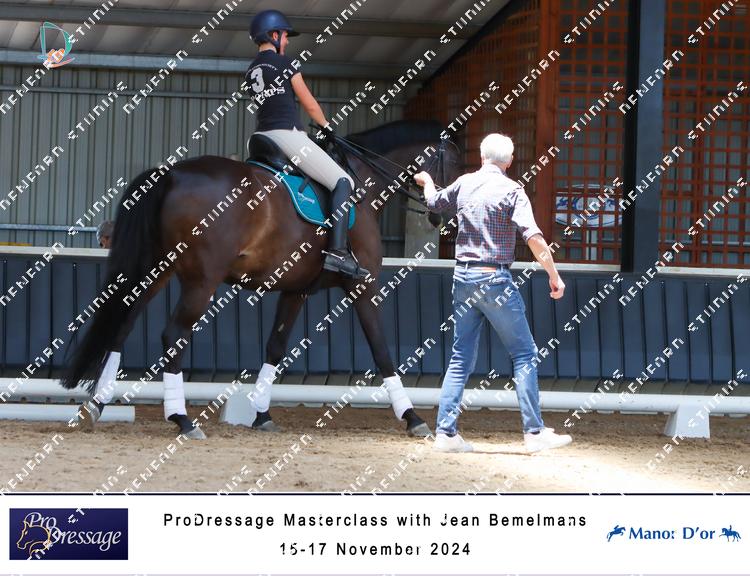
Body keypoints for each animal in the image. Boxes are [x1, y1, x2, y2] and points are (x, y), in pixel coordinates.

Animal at [60, 120, 460, 439]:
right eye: (455, 164)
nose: (448, 218)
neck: (364, 181)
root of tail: (172, 173)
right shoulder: (363, 285)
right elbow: (382, 350)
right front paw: (412, 417)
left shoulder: (296, 291)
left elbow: (275, 347)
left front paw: (262, 415)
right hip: (202, 280)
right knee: (173, 335)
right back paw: (182, 419)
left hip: (157, 269)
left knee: (124, 323)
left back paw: (96, 405)